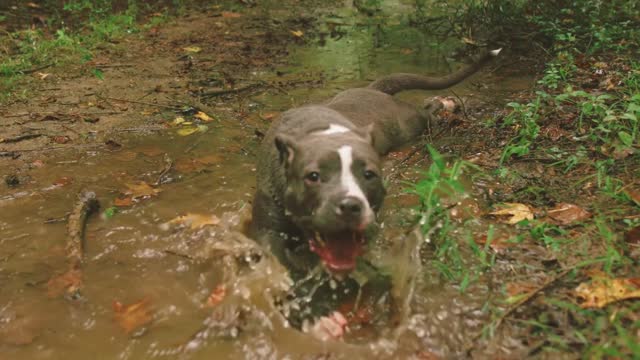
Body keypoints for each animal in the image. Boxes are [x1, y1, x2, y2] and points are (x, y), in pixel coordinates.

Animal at [248, 49, 502, 278]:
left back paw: (440, 105)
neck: (322, 131)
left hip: (408, 123)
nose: (351, 205)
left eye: (369, 174)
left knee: (425, 113)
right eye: (313, 176)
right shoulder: (266, 229)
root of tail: (373, 90)